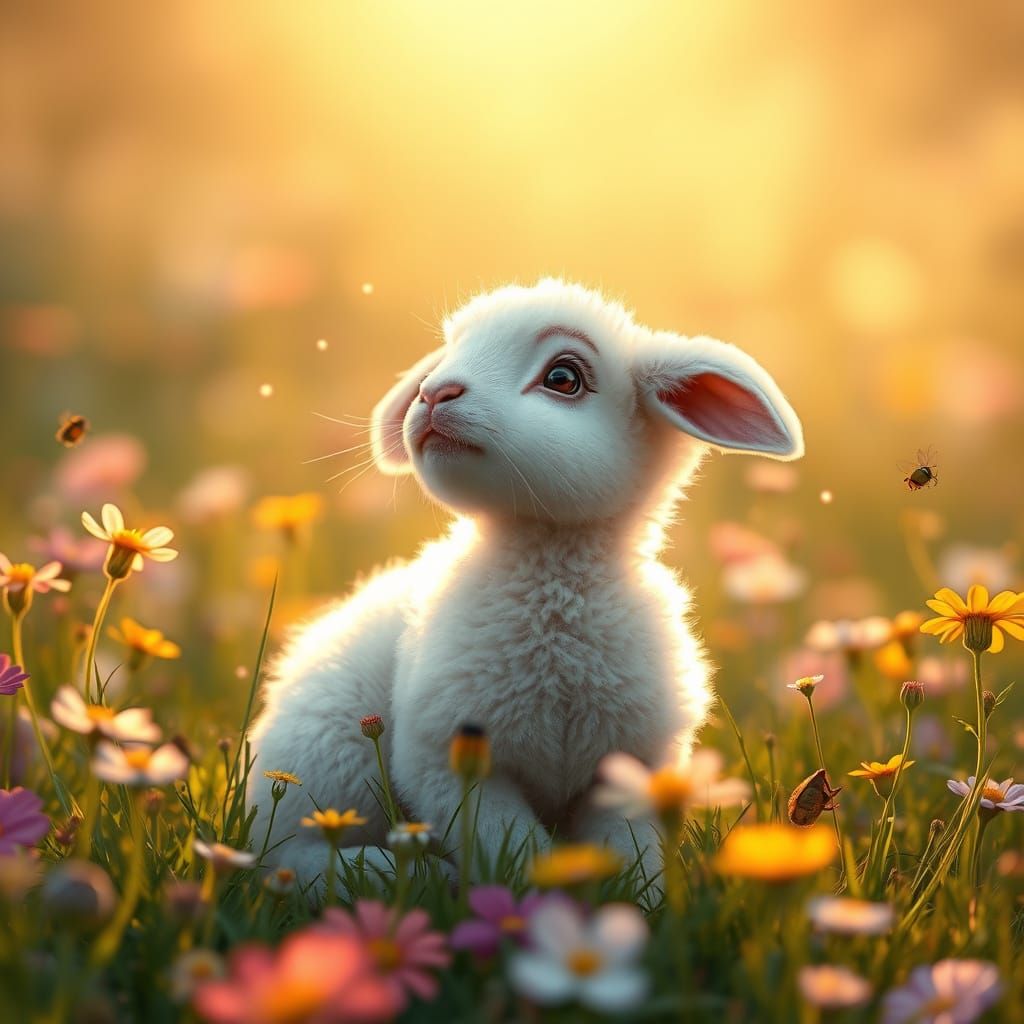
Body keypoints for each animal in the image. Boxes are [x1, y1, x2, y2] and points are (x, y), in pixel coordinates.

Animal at [247, 278, 803, 892]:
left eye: (563, 377)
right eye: (451, 350)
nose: (432, 393)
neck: (552, 585)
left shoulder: (627, 769)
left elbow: (624, 853)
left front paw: (631, 900)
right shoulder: (450, 764)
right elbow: (512, 848)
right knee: (292, 856)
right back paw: (400, 872)